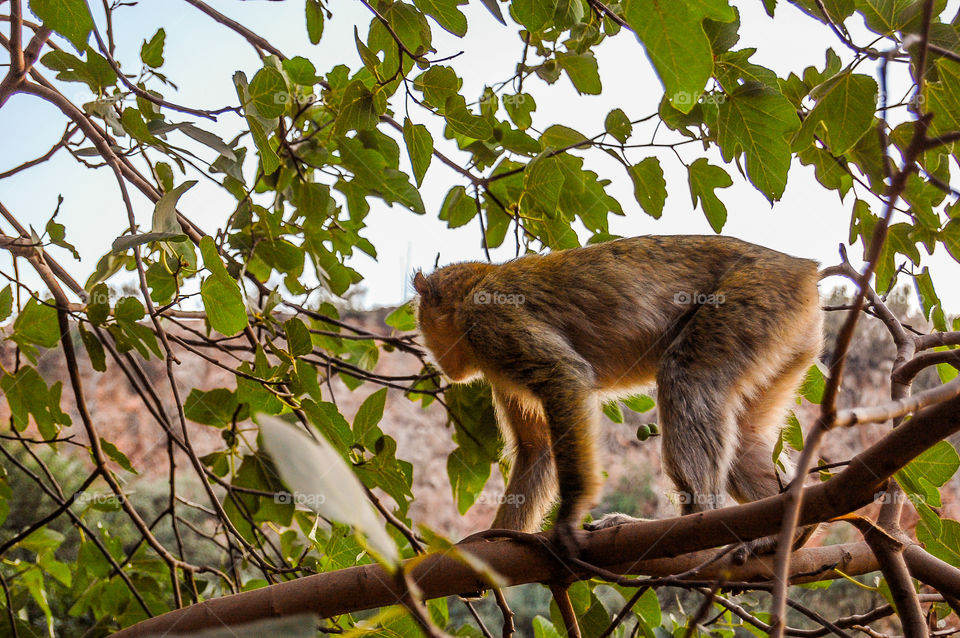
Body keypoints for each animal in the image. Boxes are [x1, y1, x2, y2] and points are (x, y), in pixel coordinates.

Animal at [413, 235, 823, 561]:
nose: (437, 359)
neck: (477, 285)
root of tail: (801, 268)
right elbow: (536, 447)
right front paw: (484, 548)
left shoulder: (489, 320)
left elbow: (565, 375)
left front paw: (569, 517)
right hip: (787, 333)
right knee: (743, 435)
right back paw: (785, 532)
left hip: (755, 298)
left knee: (686, 377)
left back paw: (696, 525)